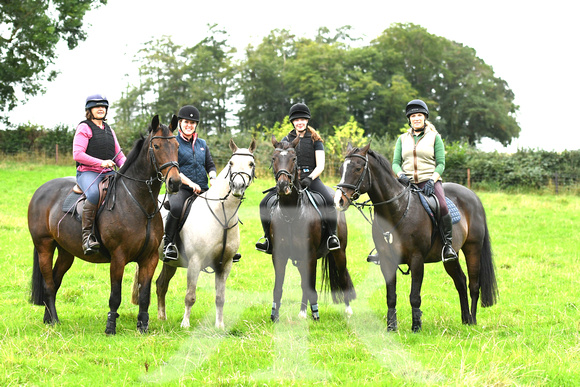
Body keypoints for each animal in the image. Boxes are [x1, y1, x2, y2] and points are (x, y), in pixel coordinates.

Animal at [27, 116, 180, 336]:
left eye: (177, 146)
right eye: (157, 146)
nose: (175, 182)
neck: (139, 203)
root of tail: (40, 191)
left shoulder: (149, 259)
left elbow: (144, 294)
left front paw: (143, 327)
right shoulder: (118, 257)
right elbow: (115, 295)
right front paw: (110, 327)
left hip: (66, 252)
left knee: (55, 282)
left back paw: (48, 319)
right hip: (44, 247)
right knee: (48, 285)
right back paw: (54, 320)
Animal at [135, 138, 258, 328]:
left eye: (251, 164)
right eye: (231, 163)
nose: (237, 186)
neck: (221, 215)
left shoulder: (225, 265)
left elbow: (220, 297)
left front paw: (220, 325)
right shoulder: (195, 262)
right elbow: (190, 296)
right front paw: (185, 324)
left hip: (170, 263)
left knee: (161, 285)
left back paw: (162, 317)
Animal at [268, 136, 356, 322]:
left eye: (294, 158)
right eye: (274, 158)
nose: (283, 186)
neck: (291, 214)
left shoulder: (310, 255)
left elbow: (312, 286)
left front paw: (315, 315)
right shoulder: (279, 255)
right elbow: (279, 287)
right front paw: (274, 316)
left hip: (339, 252)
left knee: (342, 276)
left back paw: (348, 310)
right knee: (304, 284)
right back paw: (302, 312)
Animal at [336, 144, 498, 332]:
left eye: (357, 168)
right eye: (341, 168)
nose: (339, 200)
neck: (397, 210)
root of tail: (473, 196)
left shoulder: (417, 259)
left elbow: (414, 296)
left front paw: (416, 327)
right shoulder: (386, 260)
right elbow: (391, 296)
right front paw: (391, 327)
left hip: (473, 248)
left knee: (473, 284)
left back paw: (472, 320)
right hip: (451, 257)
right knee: (461, 281)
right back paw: (465, 319)